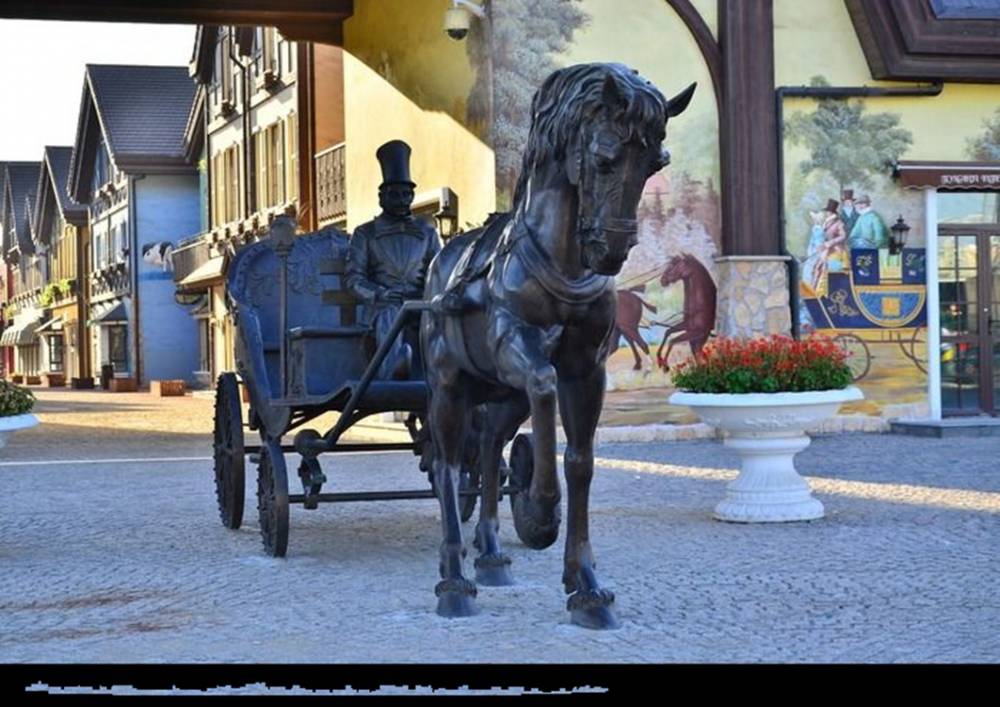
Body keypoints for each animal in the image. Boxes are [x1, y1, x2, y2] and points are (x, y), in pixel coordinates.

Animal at [418, 63, 692, 628]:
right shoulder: (516, 346)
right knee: (448, 464)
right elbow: (544, 383)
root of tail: (440, 264)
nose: (611, 251)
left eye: (656, 164)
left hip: (503, 397)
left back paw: (491, 556)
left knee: (488, 449)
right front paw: (543, 512)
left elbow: (580, 461)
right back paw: (454, 579)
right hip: (450, 387)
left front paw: (585, 586)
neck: (562, 260)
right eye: (605, 158)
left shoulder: (587, 370)